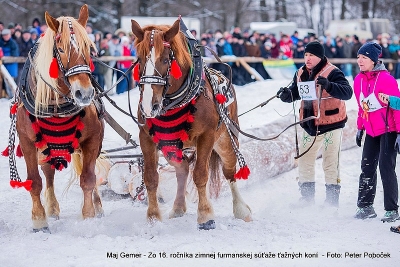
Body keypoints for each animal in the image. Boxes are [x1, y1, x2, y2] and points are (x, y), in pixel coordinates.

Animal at [8, 5, 103, 233]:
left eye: (89, 48)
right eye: (60, 50)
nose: (84, 93)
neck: (57, 105)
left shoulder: (92, 139)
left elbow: (88, 178)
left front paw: (88, 216)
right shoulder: (27, 141)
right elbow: (34, 181)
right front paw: (39, 220)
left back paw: (97, 205)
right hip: (45, 147)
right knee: (48, 173)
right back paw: (51, 208)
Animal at [130, 18, 250, 230]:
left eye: (165, 59)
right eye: (140, 58)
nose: (149, 107)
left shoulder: (206, 136)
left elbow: (200, 174)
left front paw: (205, 216)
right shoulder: (146, 138)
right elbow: (151, 177)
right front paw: (153, 218)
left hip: (225, 140)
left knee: (229, 171)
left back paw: (241, 209)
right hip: (170, 146)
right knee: (183, 168)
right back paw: (178, 207)